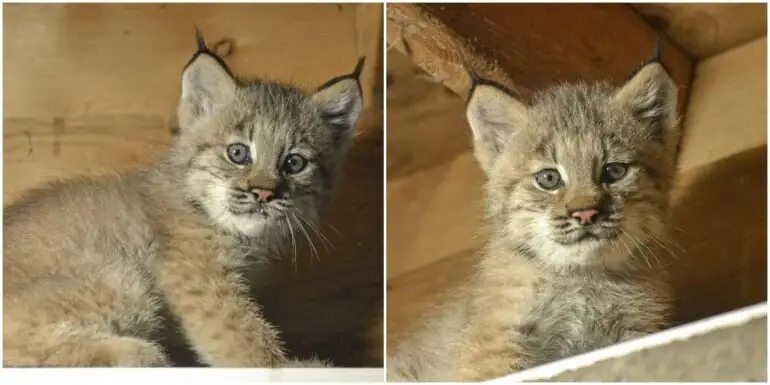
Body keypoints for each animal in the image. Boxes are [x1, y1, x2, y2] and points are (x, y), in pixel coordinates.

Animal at [3, 32, 364, 366]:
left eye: (294, 163)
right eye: (238, 153)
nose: (263, 193)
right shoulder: (201, 276)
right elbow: (240, 335)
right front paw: (285, 366)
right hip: (124, 278)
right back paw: (137, 353)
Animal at [390, 60, 680, 380]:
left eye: (614, 171)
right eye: (549, 179)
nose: (586, 214)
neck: (583, 277)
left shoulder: (634, 334)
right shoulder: (499, 343)